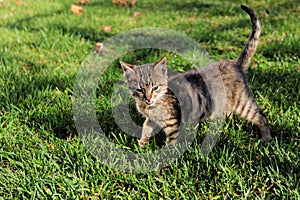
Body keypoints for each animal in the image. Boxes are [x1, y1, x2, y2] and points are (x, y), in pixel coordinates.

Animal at [119, 4, 272, 148]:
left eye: (155, 88)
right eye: (140, 89)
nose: (148, 98)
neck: (151, 106)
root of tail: (235, 64)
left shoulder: (173, 123)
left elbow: (171, 141)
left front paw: (168, 153)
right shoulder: (151, 118)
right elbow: (146, 125)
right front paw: (142, 142)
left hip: (242, 103)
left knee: (260, 116)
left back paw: (266, 138)